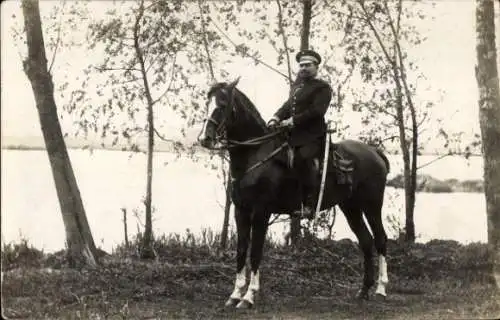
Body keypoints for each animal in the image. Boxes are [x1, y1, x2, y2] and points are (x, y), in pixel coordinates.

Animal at [198, 79, 390, 308]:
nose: (204, 138)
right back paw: (363, 290)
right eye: (207, 102)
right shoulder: (241, 211)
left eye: (223, 103)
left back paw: (380, 289)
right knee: (366, 241)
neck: (255, 154)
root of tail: (374, 152)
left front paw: (249, 296)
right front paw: (235, 294)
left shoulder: (261, 212)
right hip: (350, 207)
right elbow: (241, 252)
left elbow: (255, 253)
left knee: (380, 239)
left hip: (372, 205)